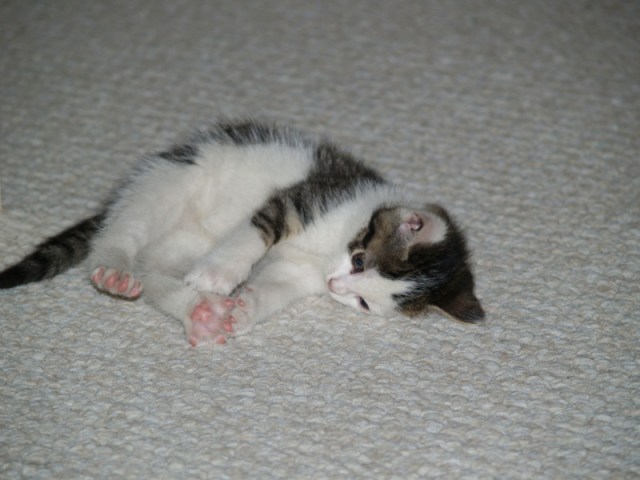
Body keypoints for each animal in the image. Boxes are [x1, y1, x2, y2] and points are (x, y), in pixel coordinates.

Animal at [0, 120, 484, 346]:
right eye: (360, 260)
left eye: (364, 302)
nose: (336, 285)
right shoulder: (301, 198)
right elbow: (255, 233)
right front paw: (220, 275)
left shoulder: (298, 273)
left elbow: (274, 288)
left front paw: (244, 308)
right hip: (173, 181)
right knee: (121, 231)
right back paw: (116, 268)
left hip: (182, 243)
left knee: (156, 275)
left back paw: (197, 311)